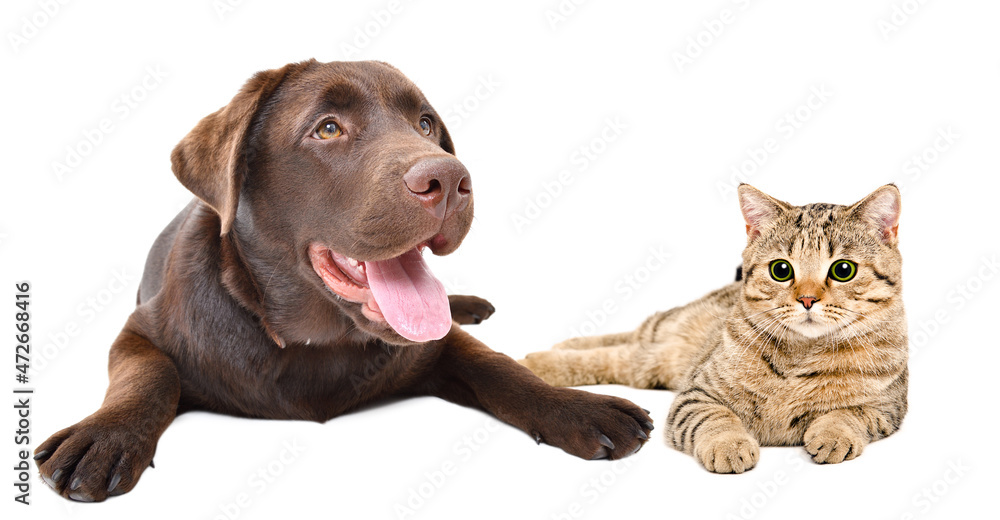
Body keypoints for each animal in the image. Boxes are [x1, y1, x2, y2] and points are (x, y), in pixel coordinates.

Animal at [524, 185, 908, 474]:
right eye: (781, 270)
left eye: (843, 270)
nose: (808, 299)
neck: (802, 353)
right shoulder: (696, 394)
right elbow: (715, 418)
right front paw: (729, 444)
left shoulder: (888, 408)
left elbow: (850, 413)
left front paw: (834, 434)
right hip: (662, 336)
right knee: (622, 342)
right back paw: (542, 358)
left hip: (650, 366)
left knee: (622, 354)